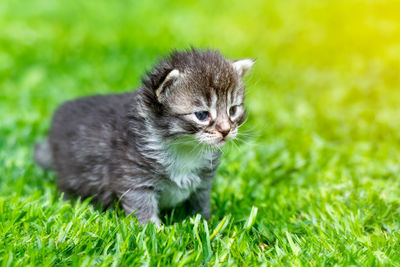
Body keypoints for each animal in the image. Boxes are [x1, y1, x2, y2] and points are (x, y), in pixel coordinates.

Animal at [34, 48, 253, 226]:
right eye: (201, 115)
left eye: (233, 110)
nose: (226, 130)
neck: (185, 148)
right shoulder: (134, 177)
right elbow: (142, 206)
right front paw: (154, 231)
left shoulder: (204, 180)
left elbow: (201, 201)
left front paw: (205, 221)